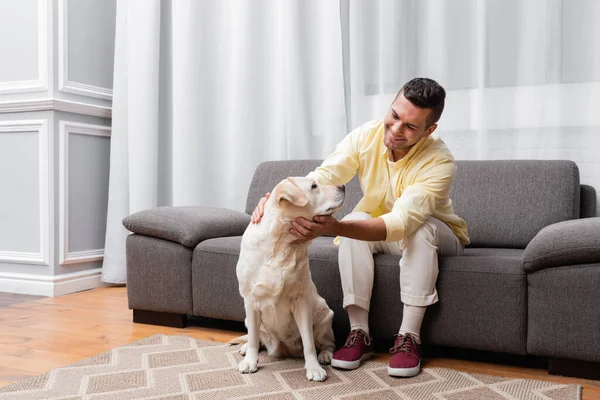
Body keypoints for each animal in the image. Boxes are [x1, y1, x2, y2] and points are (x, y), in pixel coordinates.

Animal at [234, 177, 346, 382]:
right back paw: (246, 349)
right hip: (247, 318)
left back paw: (325, 355)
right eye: (314, 186)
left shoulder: (301, 302)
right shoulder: (250, 301)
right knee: (256, 337)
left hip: (325, 316)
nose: (342, 186)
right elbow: (253, 337)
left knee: (327, 342)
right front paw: (250, 362)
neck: (282, 243)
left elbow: (309, 342)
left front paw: (314, 368)